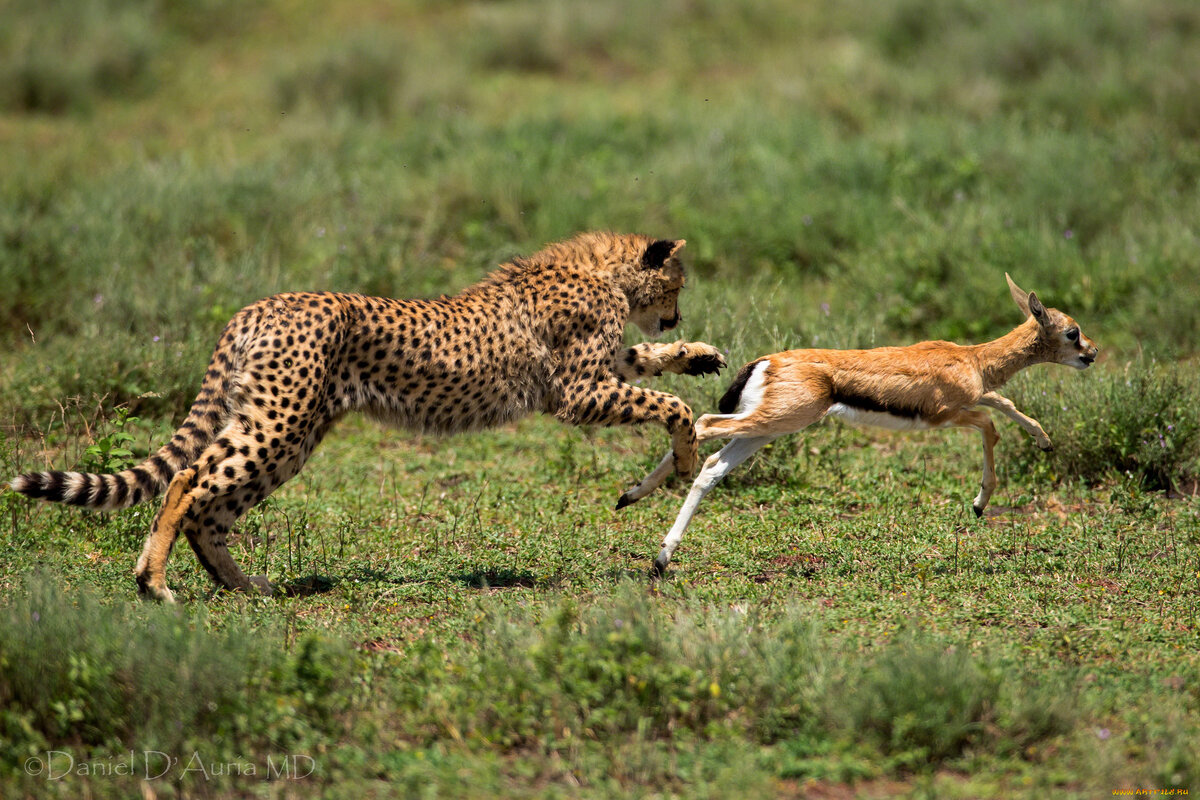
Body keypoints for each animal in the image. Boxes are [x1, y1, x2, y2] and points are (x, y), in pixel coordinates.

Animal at [9, 231, 724, 599]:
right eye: (678, 283)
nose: (678, 314)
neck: (602, 271)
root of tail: (261, 304)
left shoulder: (590, 377)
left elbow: (645, 361)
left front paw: (696, 355)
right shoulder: (575, 393)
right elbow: (669, 404)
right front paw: (688, 452)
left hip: (289, 433)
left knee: (212, 508)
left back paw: (244, 586)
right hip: (279, 424)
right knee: (188, 481)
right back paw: (152, 582)